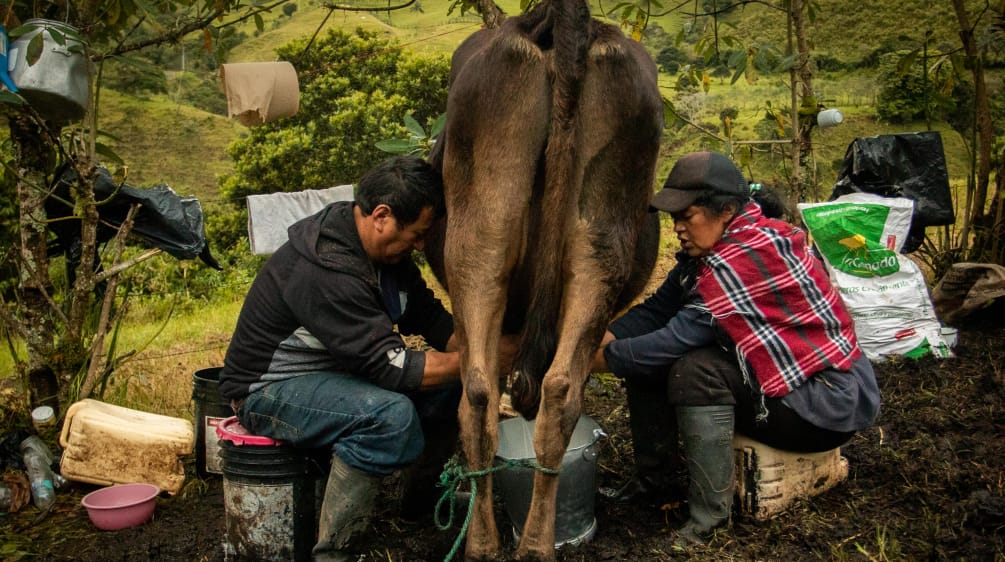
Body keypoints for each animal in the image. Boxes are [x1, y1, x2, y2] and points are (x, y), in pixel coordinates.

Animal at [426, 1, 667, 558]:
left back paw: (490, 542)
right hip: (591, 240)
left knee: (482, 397)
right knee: (545, 393)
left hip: (483, 241)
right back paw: (528, 543)